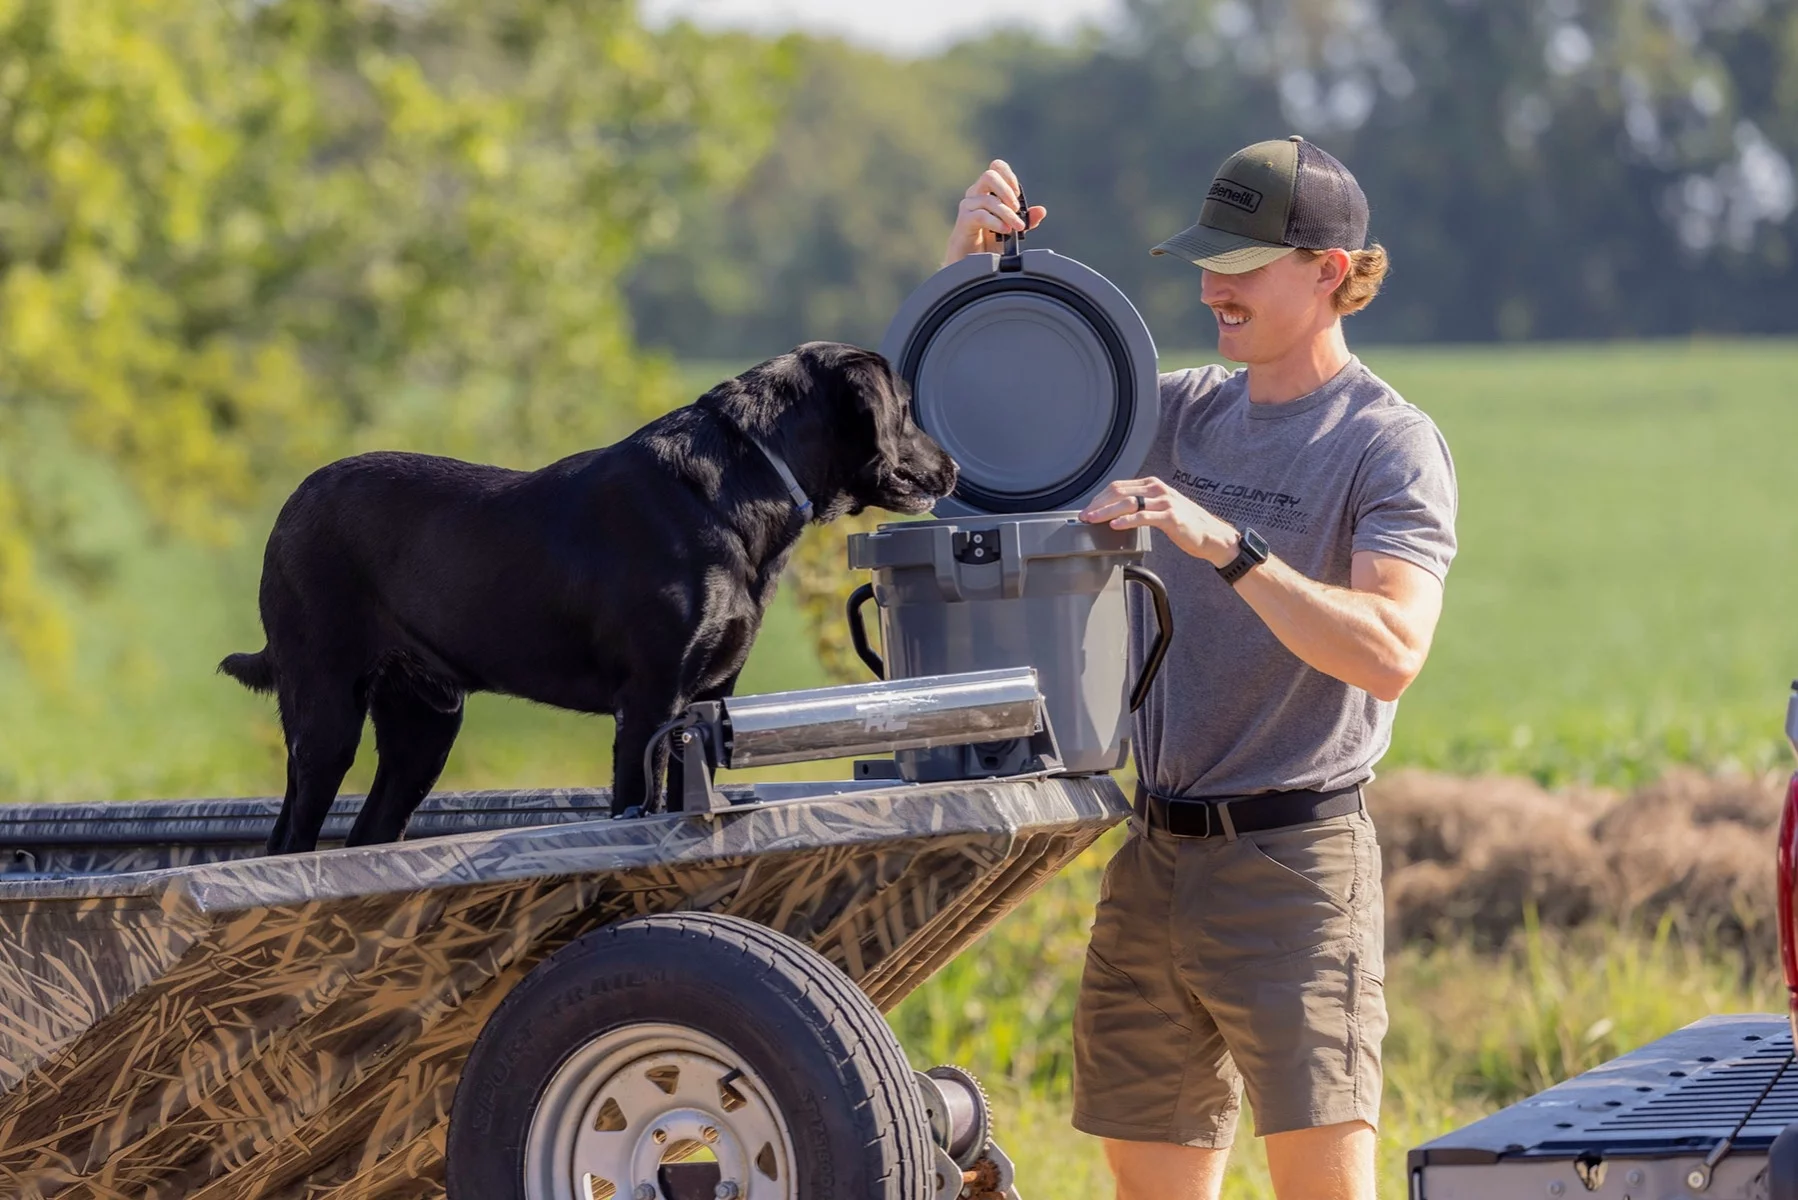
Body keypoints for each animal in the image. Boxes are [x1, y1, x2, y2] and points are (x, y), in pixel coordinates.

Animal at [221, 341, 956, 859]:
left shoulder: (706, 700)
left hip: (424, 725)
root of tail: (290, 506)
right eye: (905, 408)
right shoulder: (649, 700)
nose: (951, 467)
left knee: (367, 835)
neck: (748, 480)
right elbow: (637, 806)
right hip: (326, 711)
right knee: (288, 841)